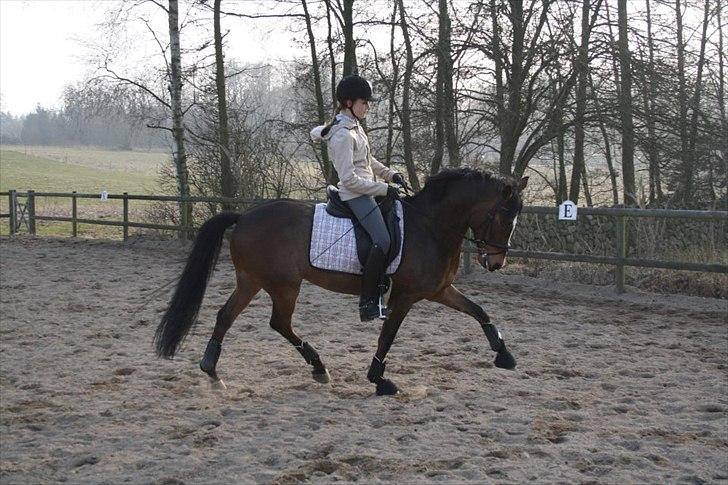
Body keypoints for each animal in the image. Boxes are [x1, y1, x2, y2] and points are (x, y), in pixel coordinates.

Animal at [154, 168, 528, 395]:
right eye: (502, 216)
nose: (496, 263)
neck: (430, 226)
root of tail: (245, 216)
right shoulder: (405, 296)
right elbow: (388, 336)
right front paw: (379, 379)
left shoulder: (439, 290)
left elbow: (479, 311)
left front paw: (505, 355)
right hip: (284, 285)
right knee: (279, 323)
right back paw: (318, 367)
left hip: (251, 281)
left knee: (226, 316)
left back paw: (213, 372)